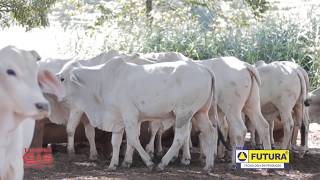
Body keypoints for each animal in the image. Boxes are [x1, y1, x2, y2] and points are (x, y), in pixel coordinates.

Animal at [57, 56, 218, 172]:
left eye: (62, 78)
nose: (58, 98)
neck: (102, 82)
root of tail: (204, 68)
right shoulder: (118, 118)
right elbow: (116, 141)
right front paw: (114, 164)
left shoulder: (130, 115)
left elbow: (133, 139)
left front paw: (148, 162)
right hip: (200, 112)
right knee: (211, 132)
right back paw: (208, 165)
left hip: (184, 113)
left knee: (180, 137)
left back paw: (162, 163)